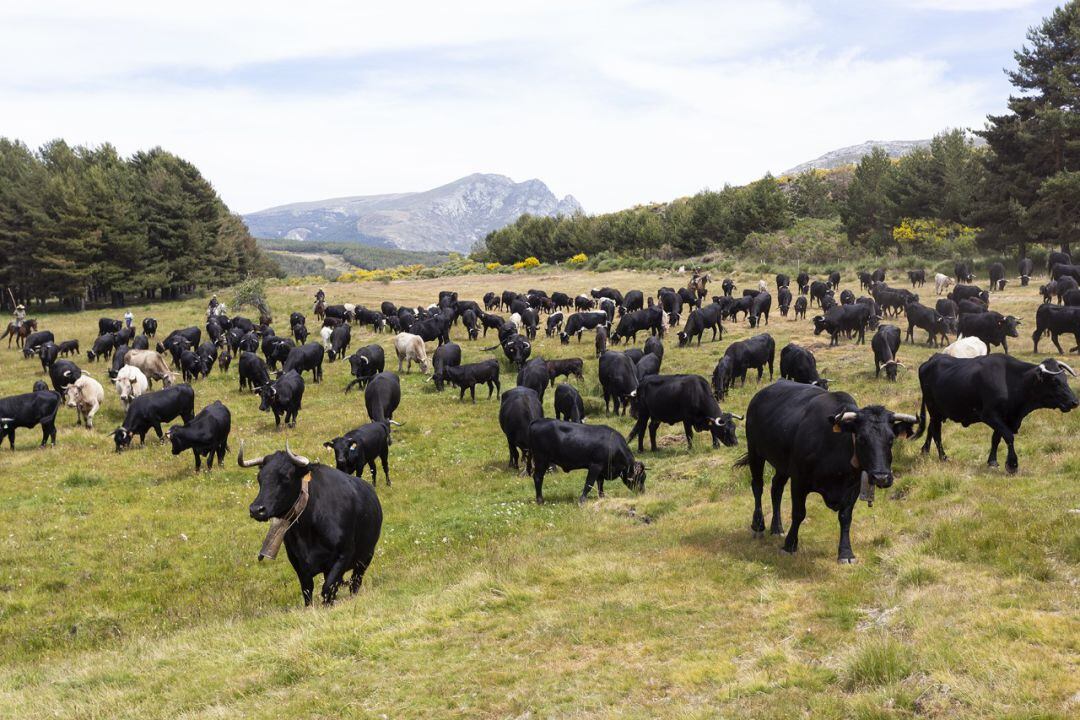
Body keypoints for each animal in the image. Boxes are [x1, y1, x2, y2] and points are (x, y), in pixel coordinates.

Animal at [240, 442, 383, 606]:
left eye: (286, 476)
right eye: (259, 477)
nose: (256, 509)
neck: (308, 529)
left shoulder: (344, 555)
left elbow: (328, 588)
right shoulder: (298, 563)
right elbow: (308, 591)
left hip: (365, 557)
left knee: (355, 583)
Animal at [736, 380, 918, 562]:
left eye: (891, 439)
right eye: (861, 438)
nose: (881, 477)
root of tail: (761, 393)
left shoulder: (853, 487)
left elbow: (845, 517)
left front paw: (846, 553)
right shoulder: (799, 480)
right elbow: (798, 513)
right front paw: (790, 545)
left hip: (782, 464)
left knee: (776, 488)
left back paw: (776, 528)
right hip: (755, 452)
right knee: (758, 486)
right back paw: (758, 526)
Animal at [915, 354, 1077, 473]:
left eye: (1065, 378)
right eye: (1055, 381)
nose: (1075, 401)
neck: (1012, 382)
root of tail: (931, 359)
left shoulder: (1005, 418)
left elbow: (996, 439)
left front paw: (992, 461)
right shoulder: (989, 415)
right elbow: (1008, 436)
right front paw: (1012, 464)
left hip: (938, 412)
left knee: (931, 428)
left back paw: (925, 451)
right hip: (934, 410)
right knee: (937, 433)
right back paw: (943, 457)